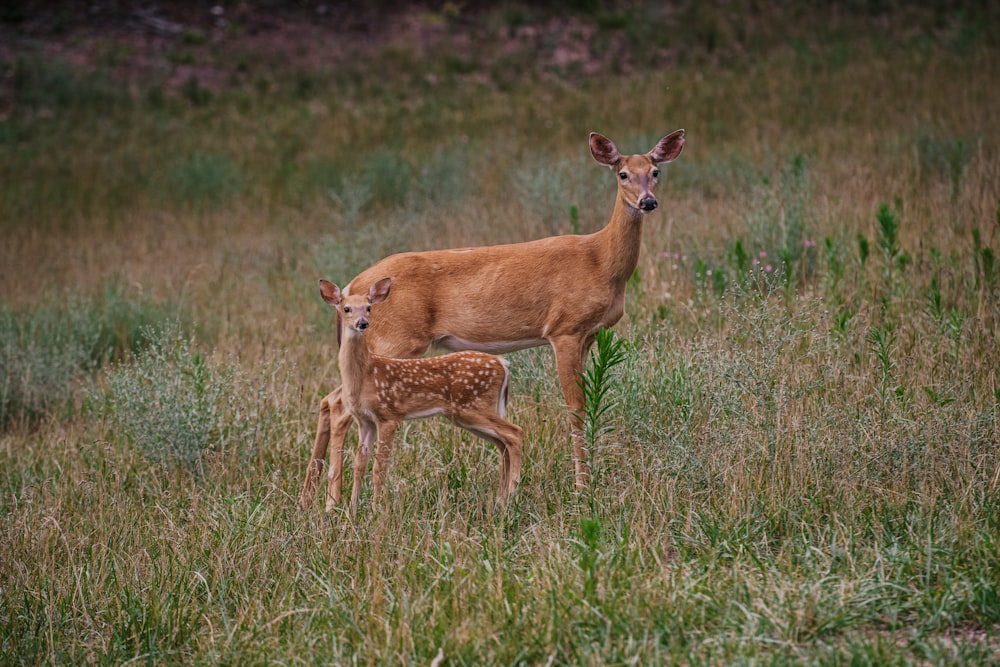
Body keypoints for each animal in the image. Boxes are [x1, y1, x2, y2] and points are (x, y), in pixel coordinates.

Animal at [320, 276, 524, 516]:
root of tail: (503, 364)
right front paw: (352, 510)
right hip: (470, 413)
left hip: (473, 406)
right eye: (346, 308)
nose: (362, 323)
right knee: (503, 443)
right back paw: (501, 498)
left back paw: (511, 495)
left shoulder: (389, 414)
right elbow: (359, 465)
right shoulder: (365, 421)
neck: (365, 376)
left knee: (515, 433)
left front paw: (375, 510)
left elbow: (380, 466)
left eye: (369, 307)